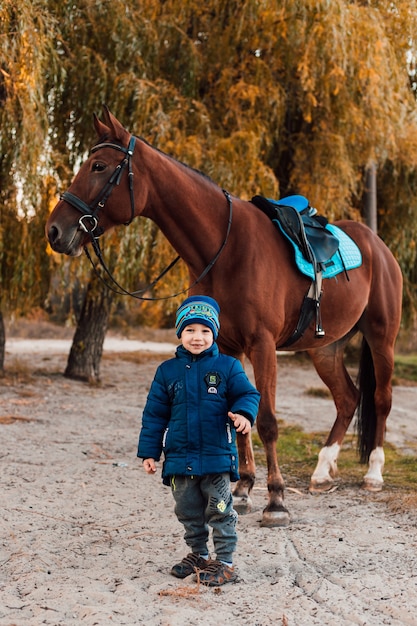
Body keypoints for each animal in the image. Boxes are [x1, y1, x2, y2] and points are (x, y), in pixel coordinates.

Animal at [46, 107, 404, 528]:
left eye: (99, 166)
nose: (54, 231)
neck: (227, 247)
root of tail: (378, 245)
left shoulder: (262, 345)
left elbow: (265, 421)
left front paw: (276, 500)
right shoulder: (229, 347)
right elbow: (236, 420)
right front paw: (244, 490)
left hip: (381, 338)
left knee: (380, 399)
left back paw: (373, 474)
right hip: (327, 348)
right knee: (348, 398)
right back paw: (321, 471)